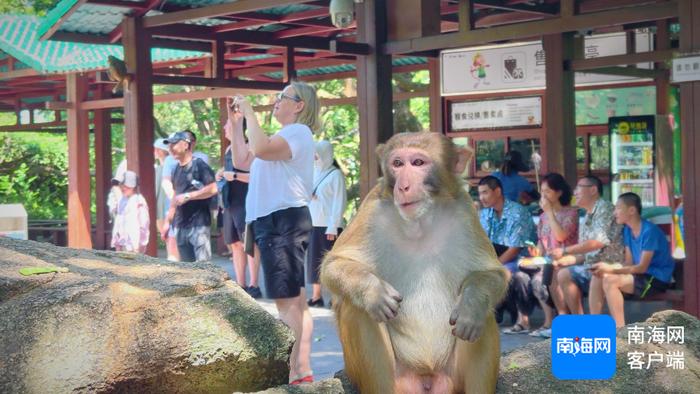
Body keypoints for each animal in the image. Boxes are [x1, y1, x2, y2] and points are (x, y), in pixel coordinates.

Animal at [320, 132, 506, 394]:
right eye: (397, 164)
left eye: (418, 163)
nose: (403, 186)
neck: (420, 223)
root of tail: (425, 378)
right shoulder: (372, 208)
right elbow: (333, 265)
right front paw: (375, 292)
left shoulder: (465, 211)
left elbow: (493, 274)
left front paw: (471, 305)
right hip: (393, 377)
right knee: (359, 310)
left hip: (451, 379)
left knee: (484, 317)